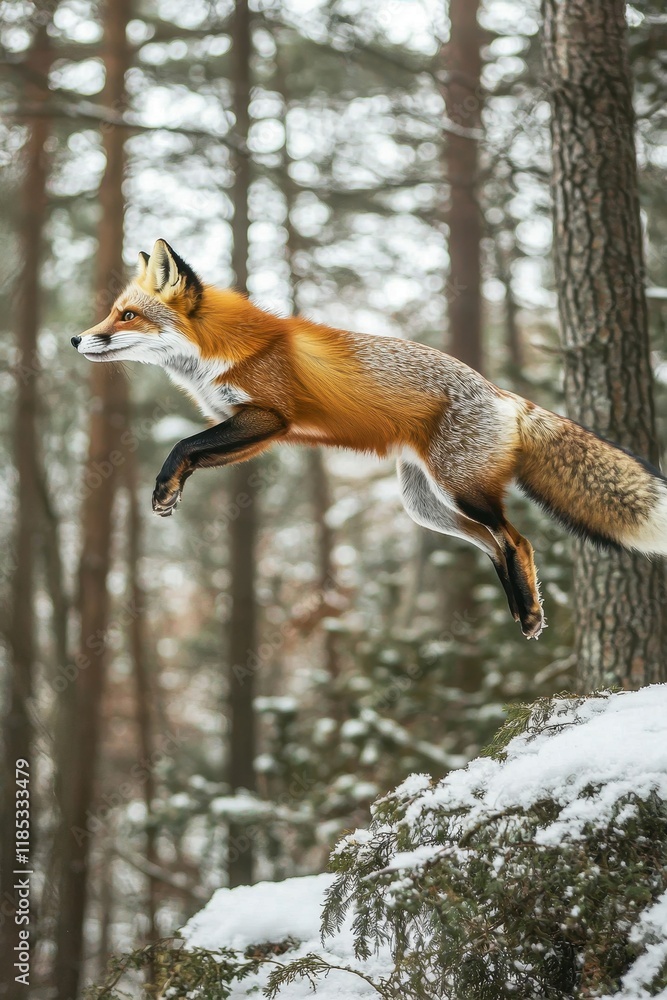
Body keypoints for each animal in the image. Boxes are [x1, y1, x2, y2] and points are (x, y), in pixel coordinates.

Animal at [72, 239, 667, 639]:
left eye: (127, 315)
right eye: (111, 312)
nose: (77, 338)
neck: (214, 352)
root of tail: (503, 394)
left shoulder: (269, 417)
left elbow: (183, 445)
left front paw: (164, 487)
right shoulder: (254, 430)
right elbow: (195, 450)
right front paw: (171, 491)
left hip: (460, 490)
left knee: (515, 539)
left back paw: (528, 612)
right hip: (426, 505)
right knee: (494, 543)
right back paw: (524, 610)